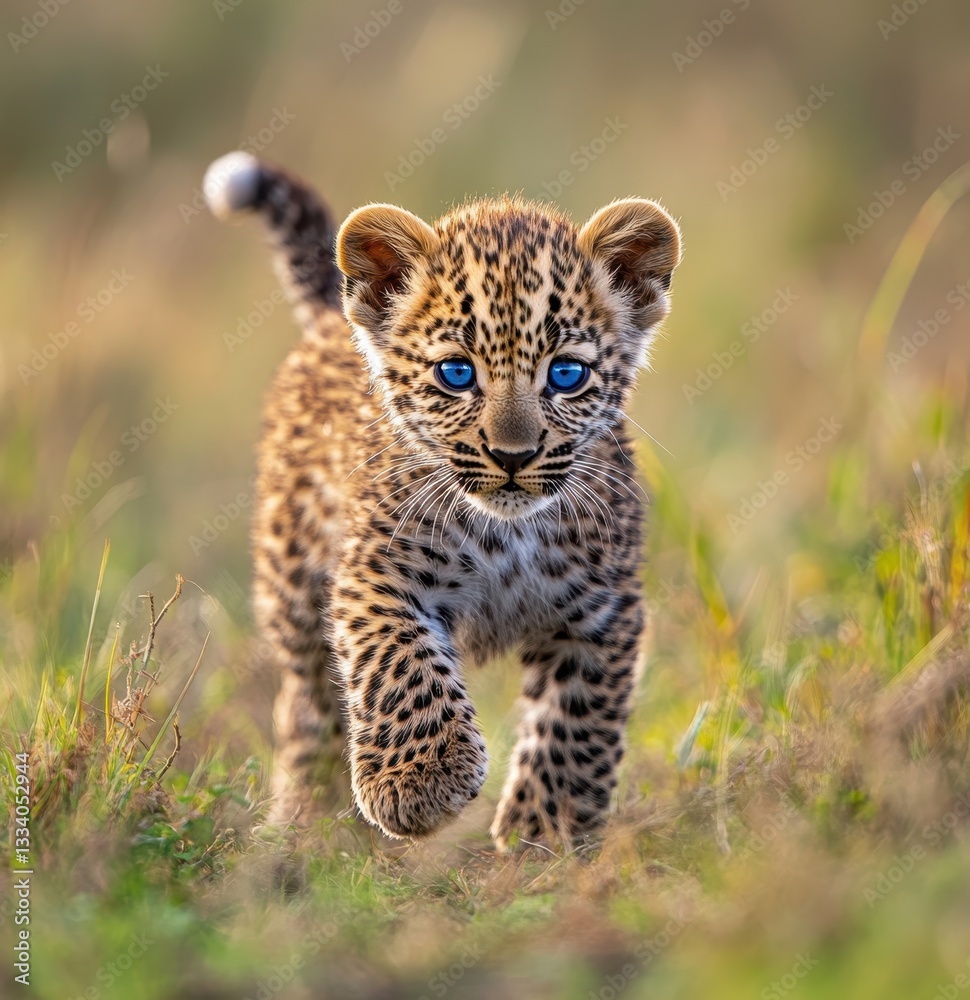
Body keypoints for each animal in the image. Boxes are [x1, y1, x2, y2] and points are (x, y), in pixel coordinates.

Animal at [203, 150, 681, 850]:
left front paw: (547, 837)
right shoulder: (376, 572)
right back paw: (306, 821)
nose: (513, 457)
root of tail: (331, 319)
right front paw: (419, 784)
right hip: (291, 585)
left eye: (567, 374)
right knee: (306, 702)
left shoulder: (602, 610)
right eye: (456, 374)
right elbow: (398, 662)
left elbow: (575, 724)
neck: (509, 534)